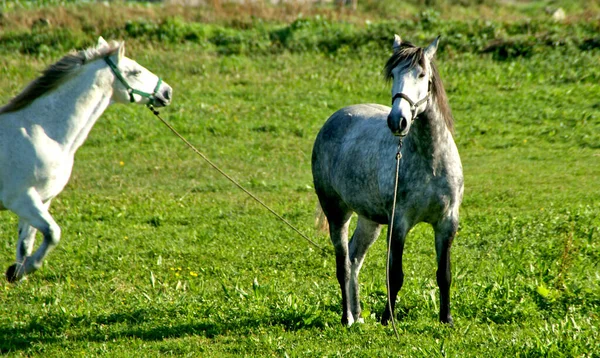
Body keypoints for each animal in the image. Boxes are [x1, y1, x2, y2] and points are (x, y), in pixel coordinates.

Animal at [312, 35, 462, 326]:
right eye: (393, 74)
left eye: (422, 74)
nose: (397, 121)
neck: (431, 161)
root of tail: (334, 119)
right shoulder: (399, 222)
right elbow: (395, 275)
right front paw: (387, 319)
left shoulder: (447, 222)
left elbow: (444, 274)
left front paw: (446, 318)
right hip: (337, 213)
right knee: (343, 264)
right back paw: (347, 317)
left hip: (369, 220)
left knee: (354, 259)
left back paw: (358, 315)